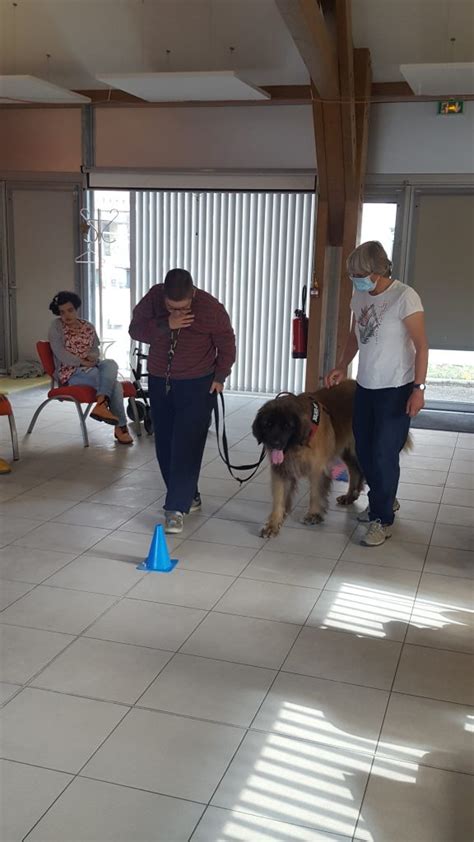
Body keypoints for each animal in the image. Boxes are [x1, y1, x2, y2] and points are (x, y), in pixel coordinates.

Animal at [252, 378, 362, 536]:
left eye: (287, 426)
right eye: (268, 424)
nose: (275, 443)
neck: (299, 444)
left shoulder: (318, 468)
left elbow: (315, 493)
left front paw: (313, 514)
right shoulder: (282, 469)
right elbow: (279, 498)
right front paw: (273, 523)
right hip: (347, 450)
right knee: (355, 470)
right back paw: (350, 496)